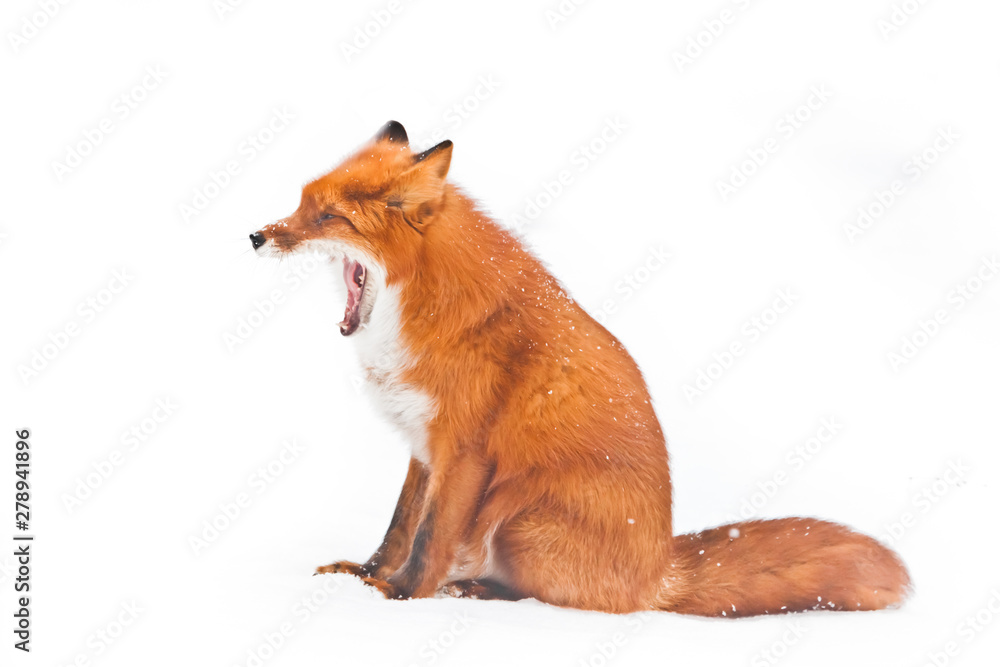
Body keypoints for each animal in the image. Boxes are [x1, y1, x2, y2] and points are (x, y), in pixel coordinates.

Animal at [249, 121, 910, 616]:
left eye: (328, 218)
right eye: (302, 204)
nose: (256, 236)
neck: (421, 308)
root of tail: (661, 571)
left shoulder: (462, 450)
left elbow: (429, 539)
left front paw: (397, 597)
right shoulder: (422, 446)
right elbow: (398, 528)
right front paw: (362, 575)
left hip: (518, 523)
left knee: (562, 601)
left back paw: (477, 589)